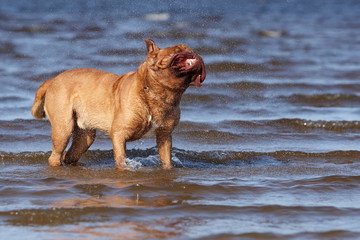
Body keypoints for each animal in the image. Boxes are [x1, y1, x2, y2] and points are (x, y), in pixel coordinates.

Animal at [31, 39, 205, 169]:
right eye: (177, 50)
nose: (193, 52)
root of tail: (53, 79)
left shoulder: (164, 136)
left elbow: (167, 161)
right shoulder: (119, 134)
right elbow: (121, 158)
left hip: (85, 136)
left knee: (70, 154)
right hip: (63, 128)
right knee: (56, 155)